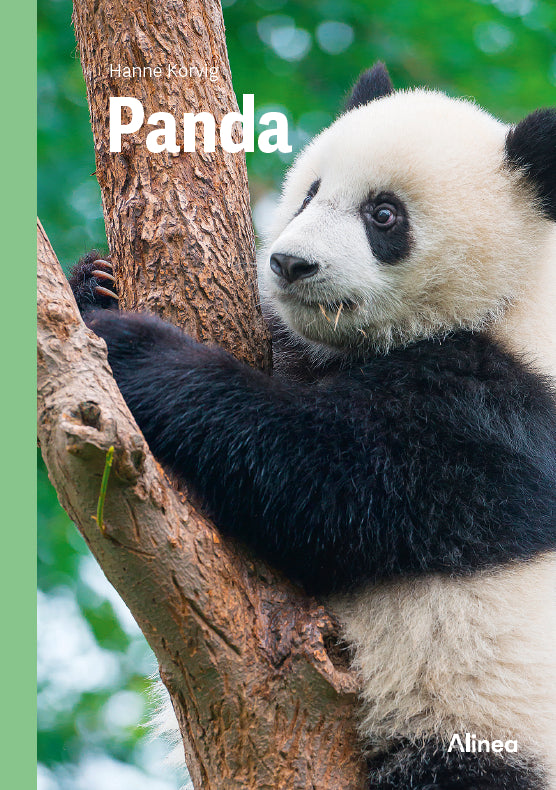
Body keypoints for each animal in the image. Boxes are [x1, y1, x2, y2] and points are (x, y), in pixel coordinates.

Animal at [69, 63, 556, 789]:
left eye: (384, 215)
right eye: (309, 194)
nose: (290, 264)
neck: (510, 297)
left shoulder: (505, 415)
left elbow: (334, 478)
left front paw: (134, 347)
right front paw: (95, 285)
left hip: (483, 717)